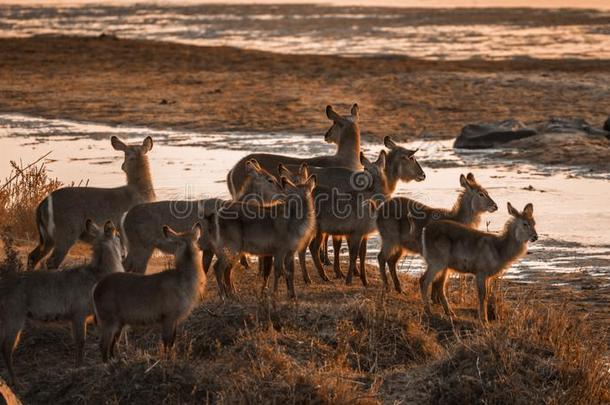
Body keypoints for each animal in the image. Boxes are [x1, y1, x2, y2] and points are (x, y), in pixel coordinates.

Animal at [0, 219, 122, 384]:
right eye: (118, 235)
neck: (97, 273)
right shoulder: (79, 315)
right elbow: (80, 342)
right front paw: (79, 368)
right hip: (14, 319)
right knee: (6, 348)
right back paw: (17, 382)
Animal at [28, 135, 154, 268]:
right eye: (125, 153)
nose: (123, 166)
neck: (140, 191)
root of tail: (42, 205)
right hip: (66, 234)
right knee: (51, 262)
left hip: (48, 238)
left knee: (33, 256)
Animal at [91, 223, 203, 362]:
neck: (183, 278)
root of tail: (96, 287)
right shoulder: (168, 317)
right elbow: (167, 342)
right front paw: (166, 360)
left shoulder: (175, 319)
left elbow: (172, 341)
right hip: (109, 320)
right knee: (103, 345)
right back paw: (107, 364)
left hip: (119, 322)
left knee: (112, 343)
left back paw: (116, 360)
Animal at [120, 159, 282, 274]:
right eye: (270, 179)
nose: (283, 192)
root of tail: (124, 219)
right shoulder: (214, 246)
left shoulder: (207, 247)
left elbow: (205, 269)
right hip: (141, 247)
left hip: (137, 247)